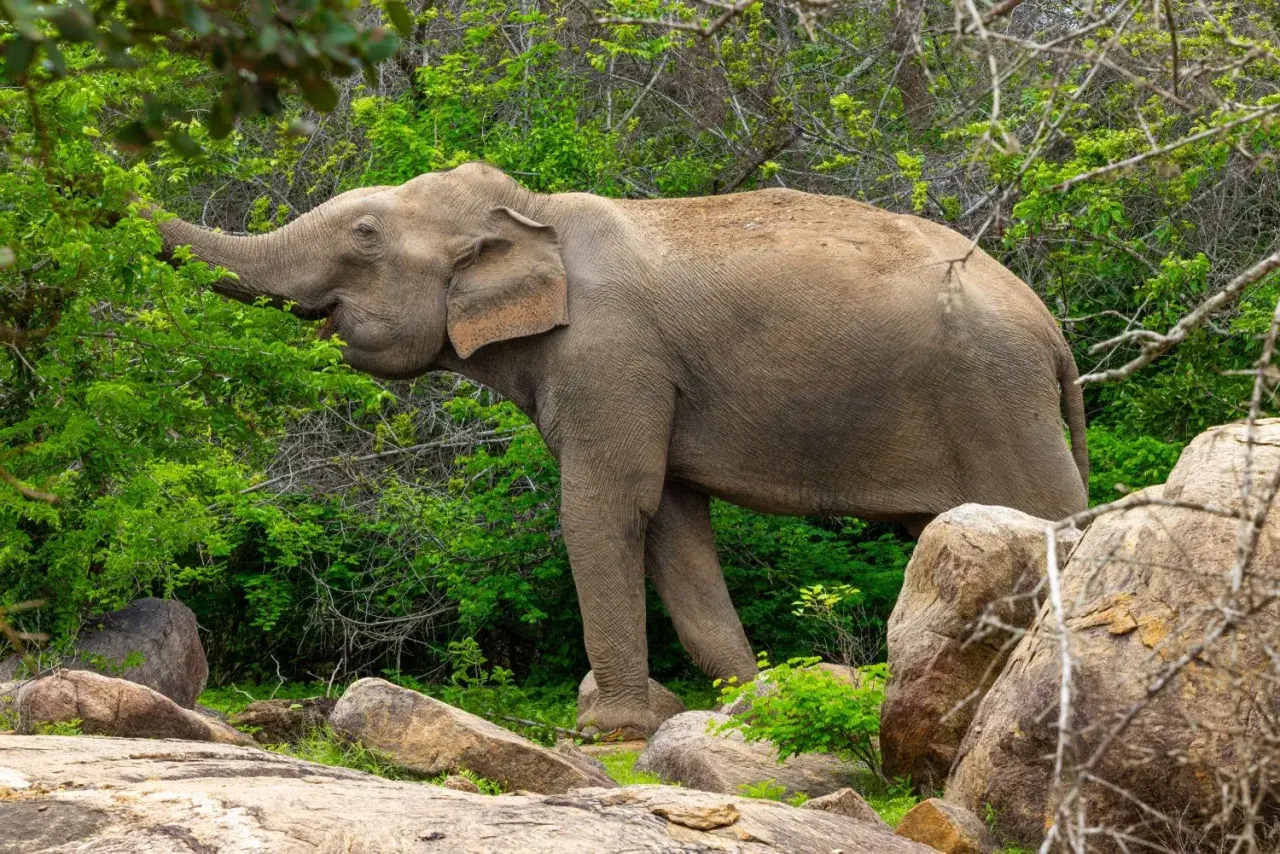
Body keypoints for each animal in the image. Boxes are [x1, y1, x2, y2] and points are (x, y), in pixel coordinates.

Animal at [152, 161, 1088, 737]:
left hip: (999, 403)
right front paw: (746, 703)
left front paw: (608, 729)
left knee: (1054, 522)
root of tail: (1053, 330)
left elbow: (606, 508)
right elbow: (673, 523)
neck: (538, 213)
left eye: (364, 236)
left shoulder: (611, 356)